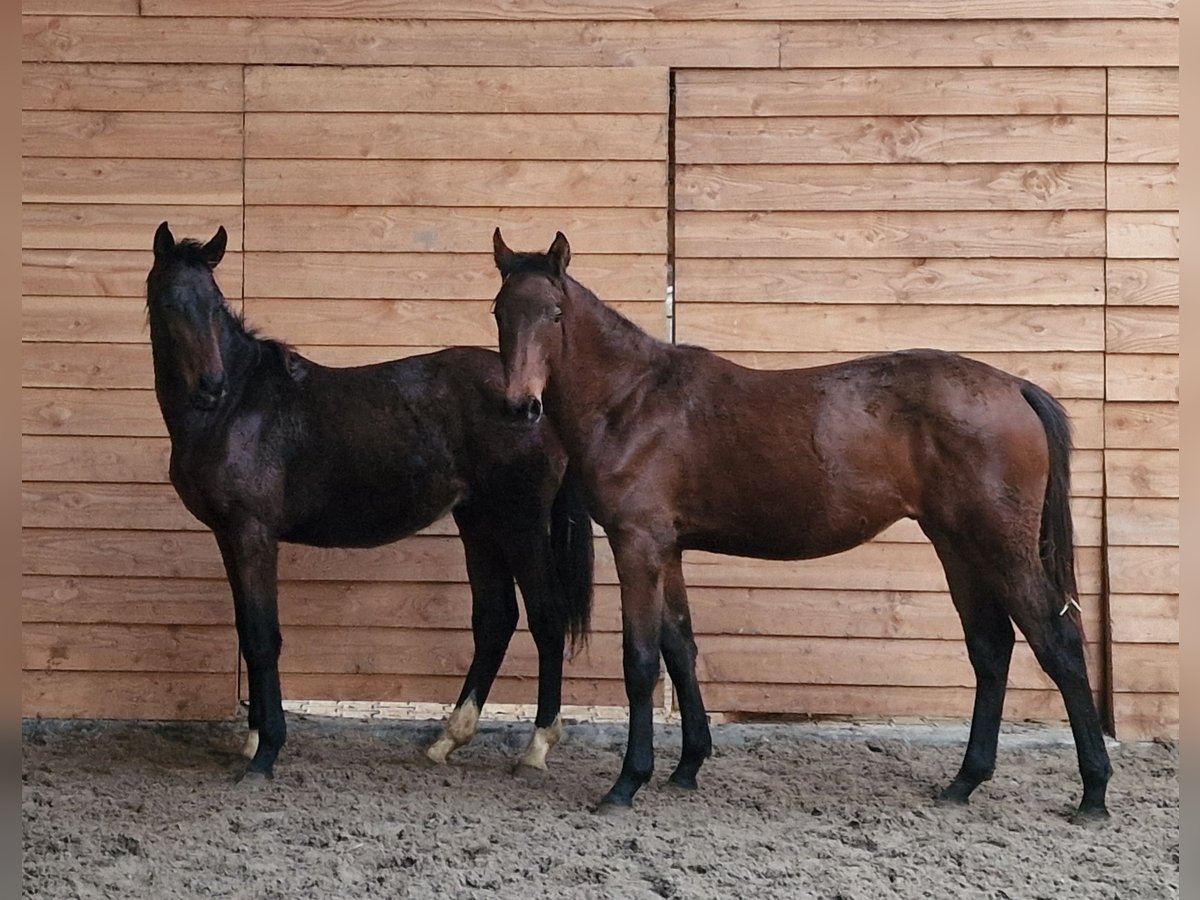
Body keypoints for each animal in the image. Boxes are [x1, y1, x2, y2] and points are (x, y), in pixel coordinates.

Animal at [145, 222, 594, 780]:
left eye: (213, 305)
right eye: (169, 302)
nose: (210, 386)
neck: (238, 408)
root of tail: (534, 402)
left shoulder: (253, 534)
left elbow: (264, 636)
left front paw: (266, 752)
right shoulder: (229, 538)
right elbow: (247, 634)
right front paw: (252, 742)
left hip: (522, 523)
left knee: (546, 617)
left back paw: (535, 747)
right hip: (479, 521)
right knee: (495, 619)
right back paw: (447, 739)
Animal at [488, 229, 1111, 824]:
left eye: (555, 314)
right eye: (499, 310)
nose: (520, 407)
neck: (632, 401)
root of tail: (1015, 388)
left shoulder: (637, 545)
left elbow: (640, 661)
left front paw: (626, 783)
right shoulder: (667, 550)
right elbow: (680, 647)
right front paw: (687, 767)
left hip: (1000, 545)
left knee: (1056, 640)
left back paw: (1094, 792)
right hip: (957, 544)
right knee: (990, 646)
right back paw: (965, 781)